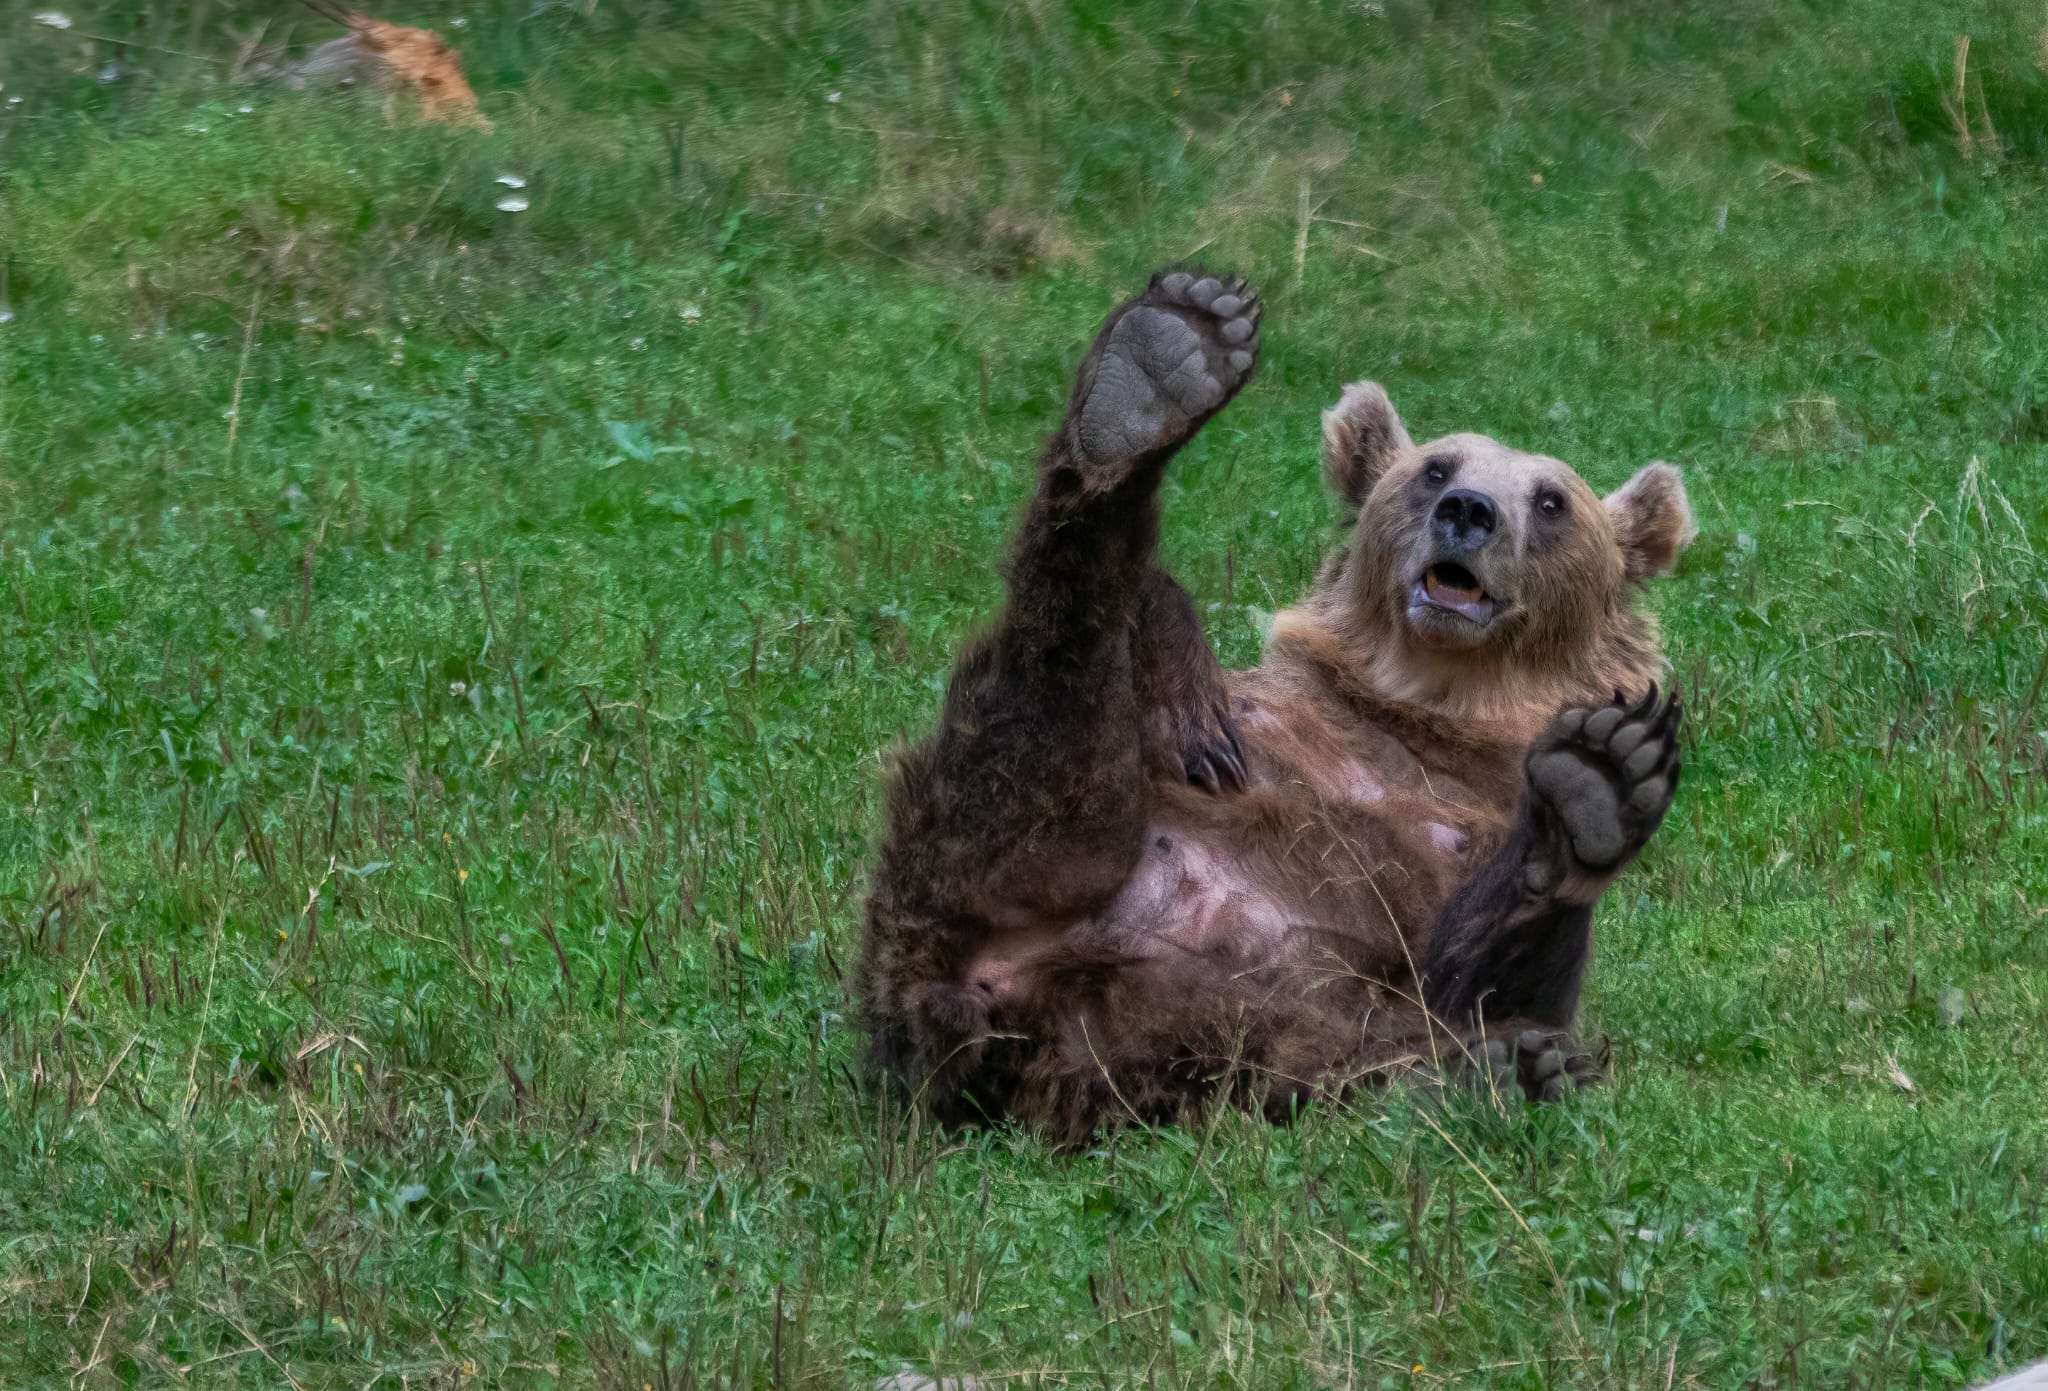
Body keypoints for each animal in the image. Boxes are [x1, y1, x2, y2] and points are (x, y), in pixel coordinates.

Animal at [853, 268, 1695, 1144]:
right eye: (1435, 467)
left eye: (1552, 500)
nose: (1468, 509)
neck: (1434, 701)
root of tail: (984, 997)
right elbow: (1169, 635)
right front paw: (1192, 709)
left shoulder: (1471, 826)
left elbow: (1468, 971)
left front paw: (1596, 780)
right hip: (947, 870)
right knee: (1037, 711)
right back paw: (1155, 369)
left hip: (1181, 1017)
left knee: (1313, 1048)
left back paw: (1494, 1064)